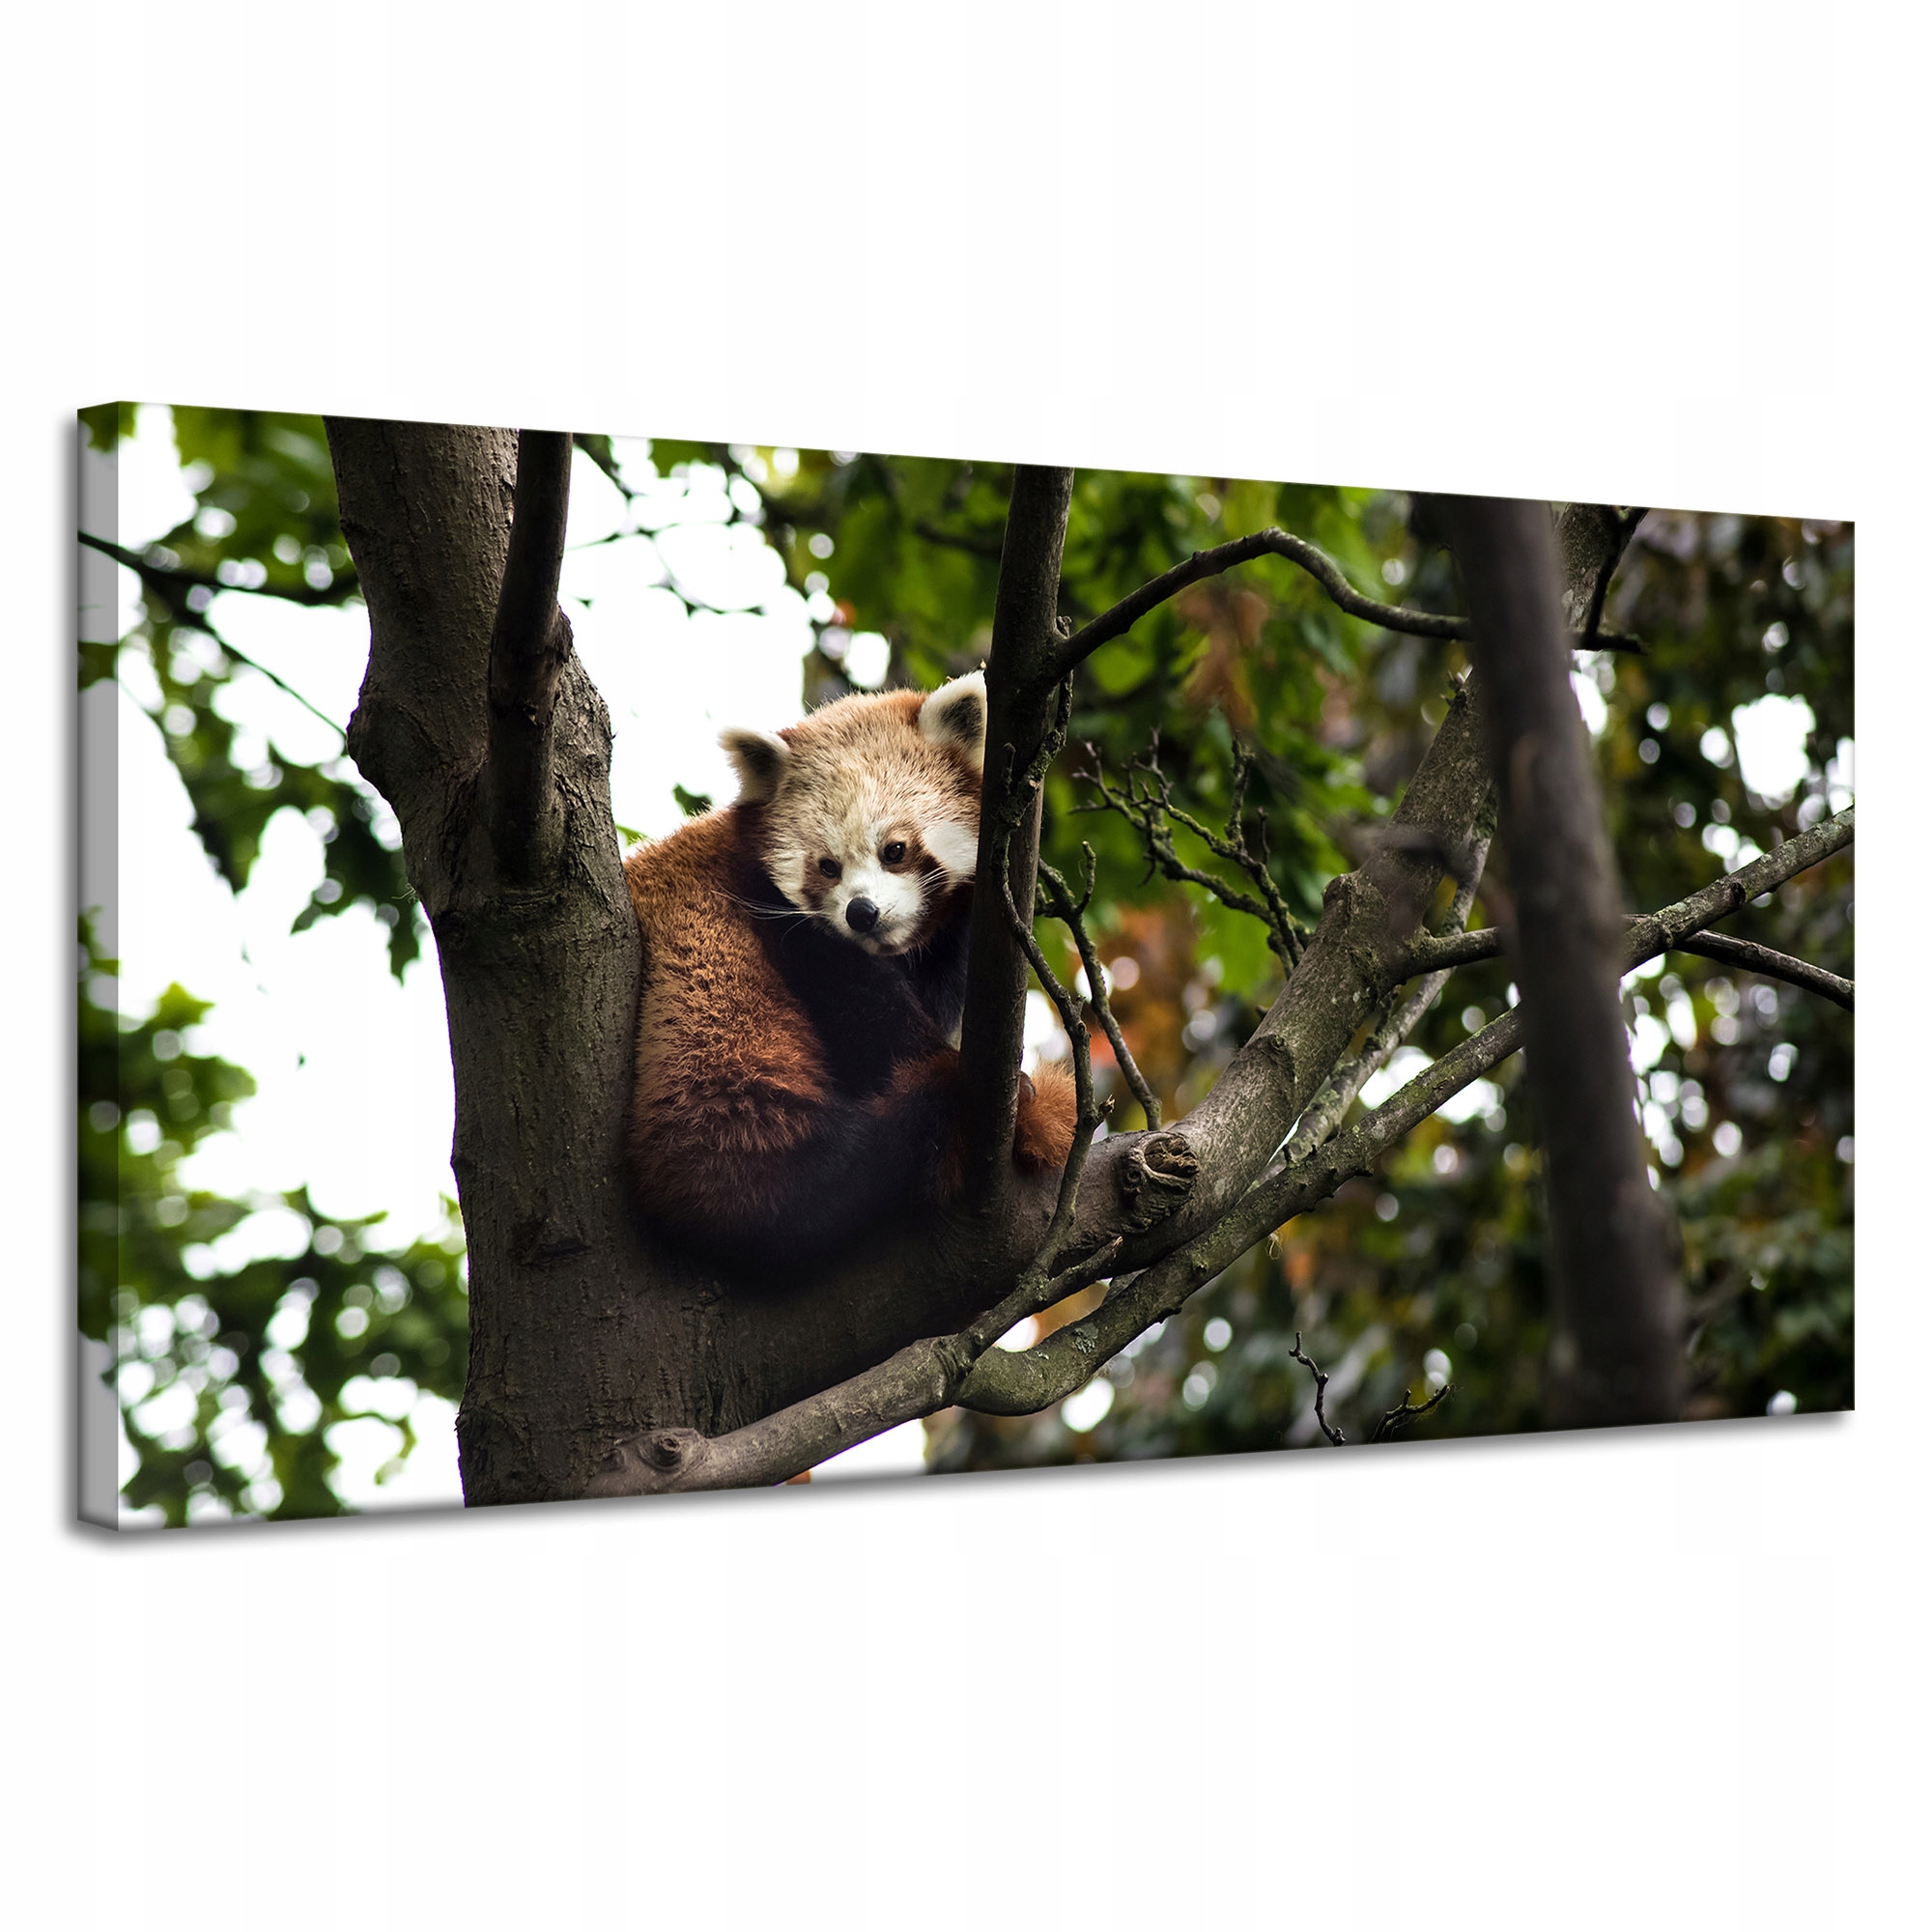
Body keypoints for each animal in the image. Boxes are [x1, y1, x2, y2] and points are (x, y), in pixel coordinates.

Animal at [622, 670, 1078, 1272]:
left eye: (895, 850)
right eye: (827, 866)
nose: (862, 913)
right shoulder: (777, 920)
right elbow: (869, 1015)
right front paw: (964, 1075)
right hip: (707, 1004)